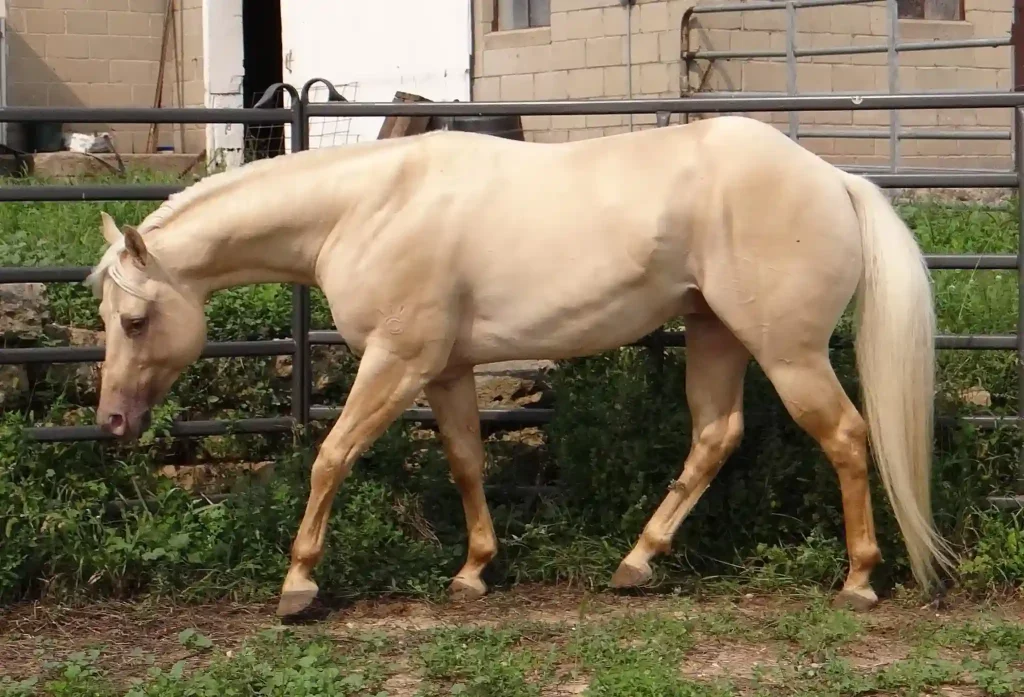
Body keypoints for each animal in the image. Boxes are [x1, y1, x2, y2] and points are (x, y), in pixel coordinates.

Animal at [88, 114, 958, 614]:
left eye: (134, 318)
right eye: (104, 318)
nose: (112, 422)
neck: (368, 206)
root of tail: (836, 179)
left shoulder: (396, 363)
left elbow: (332, 456)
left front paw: (298, 584)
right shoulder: (444, 371)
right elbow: (467, 461)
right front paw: (475, 569)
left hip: (787, 350)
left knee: (845, 436)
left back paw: (859, 578)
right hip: (715, 334)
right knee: (717, 435)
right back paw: (636, 562)